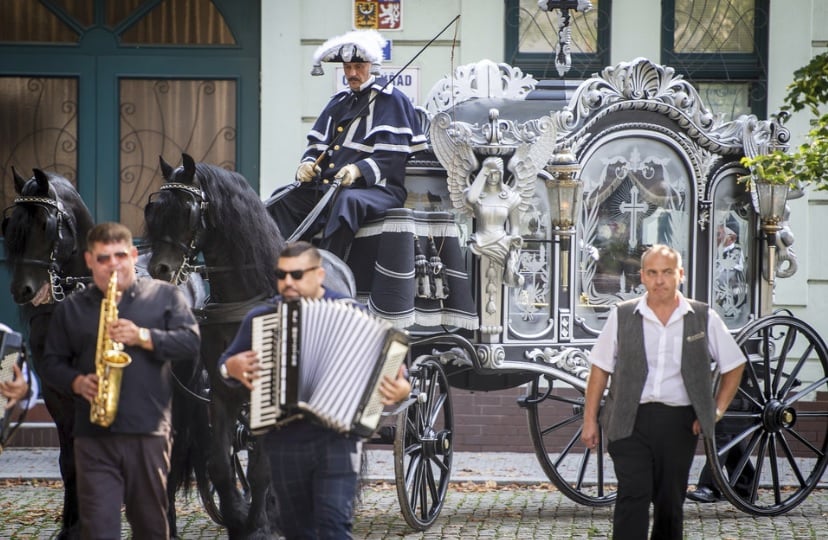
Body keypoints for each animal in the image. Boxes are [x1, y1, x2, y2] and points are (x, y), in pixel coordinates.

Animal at [2, 168, 94, 536]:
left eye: (46, 223)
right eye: (11, 225)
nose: (21, 290)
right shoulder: (57, 394)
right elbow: (68, 461)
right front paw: (71, 525)